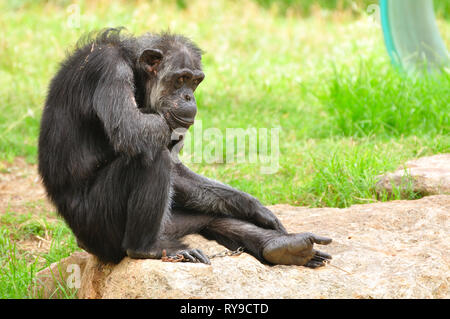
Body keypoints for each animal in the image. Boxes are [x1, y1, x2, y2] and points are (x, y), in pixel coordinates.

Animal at [38, 28, 332, 268]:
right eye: (180, 79)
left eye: (195, 81)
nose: (189, 97)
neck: (135, 72)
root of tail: (84, 243)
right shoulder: (109, 68)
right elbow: (133, 130)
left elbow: (177, 170)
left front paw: (257, 209)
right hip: (100, 228)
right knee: (151, 157)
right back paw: (147, 248)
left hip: (171, 224)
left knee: (210, 217)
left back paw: (283, 247)